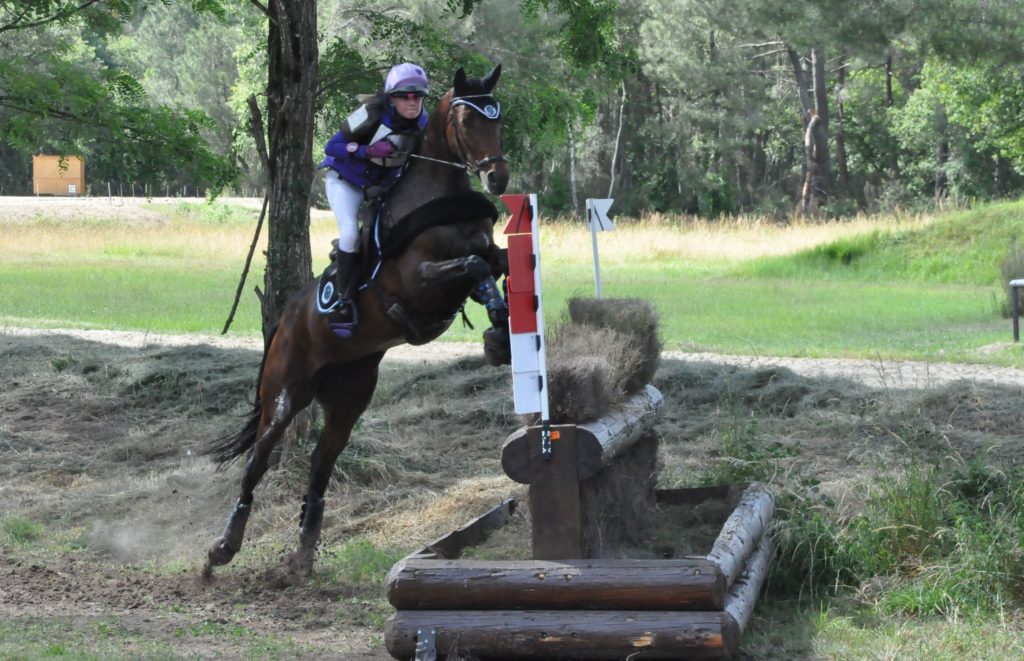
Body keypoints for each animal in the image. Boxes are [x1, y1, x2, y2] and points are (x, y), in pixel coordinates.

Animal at [202, 64, 512, 577]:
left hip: (348, 399)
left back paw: (304, 552)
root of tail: (283, 321)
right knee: (258, 461)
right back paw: (222, 548)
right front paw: (496, 331)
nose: (498, 177)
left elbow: (496, 264)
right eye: (468, 121)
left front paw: (501, 335)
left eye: (498, 117)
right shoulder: (417, 284)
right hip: (283, 394)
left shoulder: (481, 256)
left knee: (320, 465)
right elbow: (474, 266)